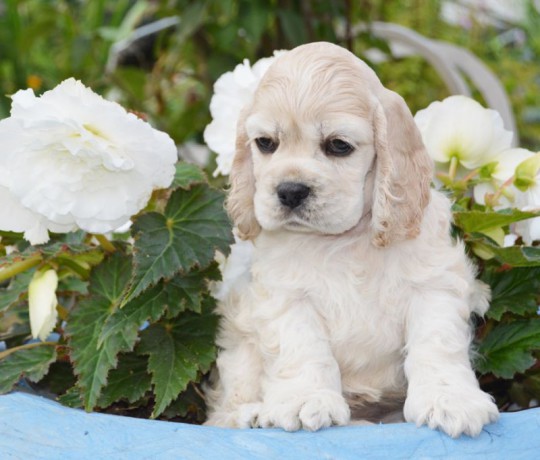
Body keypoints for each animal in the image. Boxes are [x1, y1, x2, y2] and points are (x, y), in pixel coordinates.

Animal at [205, 41, 500, 436]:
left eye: (339, 145)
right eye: (266, 143)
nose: (290, 191)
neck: (345, 240)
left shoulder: (433, 284)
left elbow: (436, 346)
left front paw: (450, 400)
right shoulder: (285, 296)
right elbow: (303, 348)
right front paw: (305, 400)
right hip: (240, 341)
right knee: (223, 408)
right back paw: (251, 416)